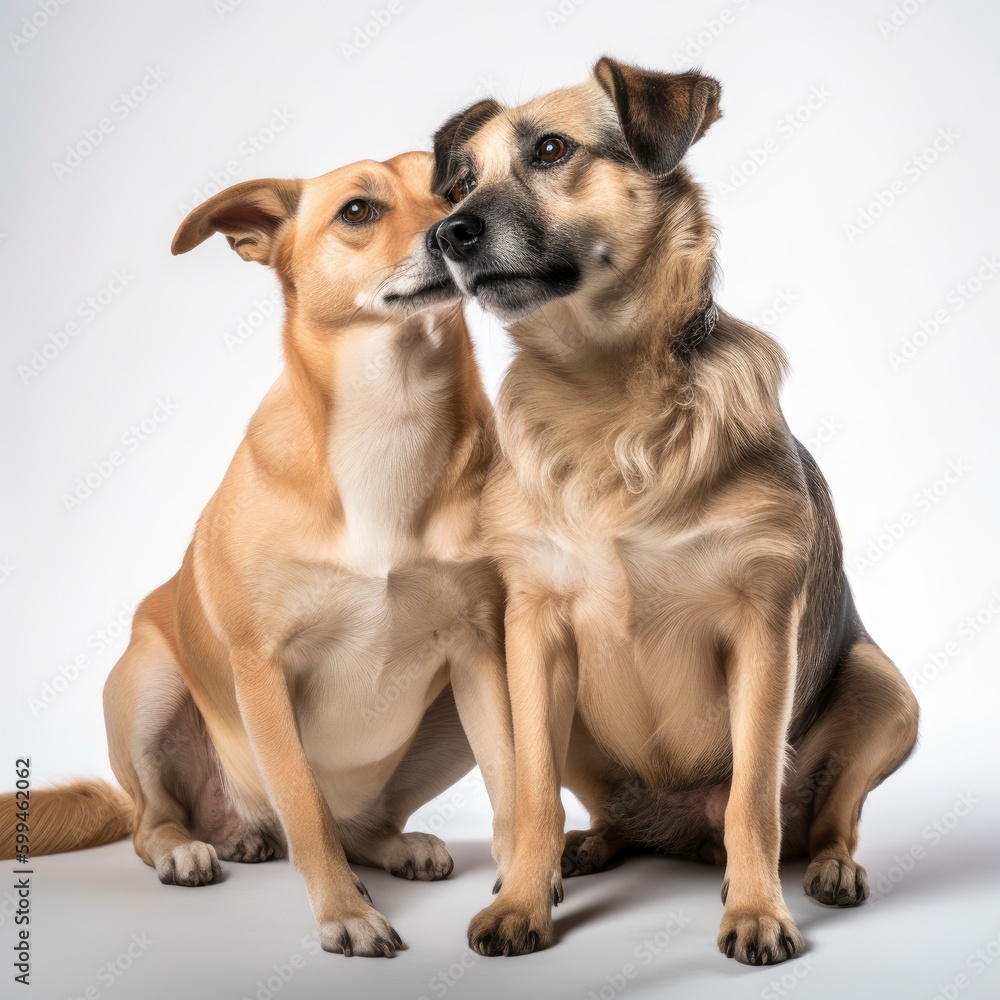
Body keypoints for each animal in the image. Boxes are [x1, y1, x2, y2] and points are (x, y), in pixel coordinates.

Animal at [0, 154, 512, 960]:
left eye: (456, 189)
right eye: (358, 210)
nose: (454, 231)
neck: (391, 414)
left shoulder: (480, 649)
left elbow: (515, 786)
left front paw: (527, 889)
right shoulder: (262, 666)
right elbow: (303, 804)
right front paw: (345, 912)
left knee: (358, 827)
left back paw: (391, 845)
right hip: (150, 683)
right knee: (160, 822)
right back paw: (190, 848)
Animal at [430, 58, 920, 964]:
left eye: (551, 150)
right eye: (463, 182)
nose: (447, 234)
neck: (605, 395)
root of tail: (674, 827)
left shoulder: (762, 629)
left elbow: (754, 797)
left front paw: (758, 911)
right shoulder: (534, 631)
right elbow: (533, 790)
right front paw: (522, 900)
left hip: (886, 691)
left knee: (827, 815)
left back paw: (829, 869)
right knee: (597, 810)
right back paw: (581, 851)